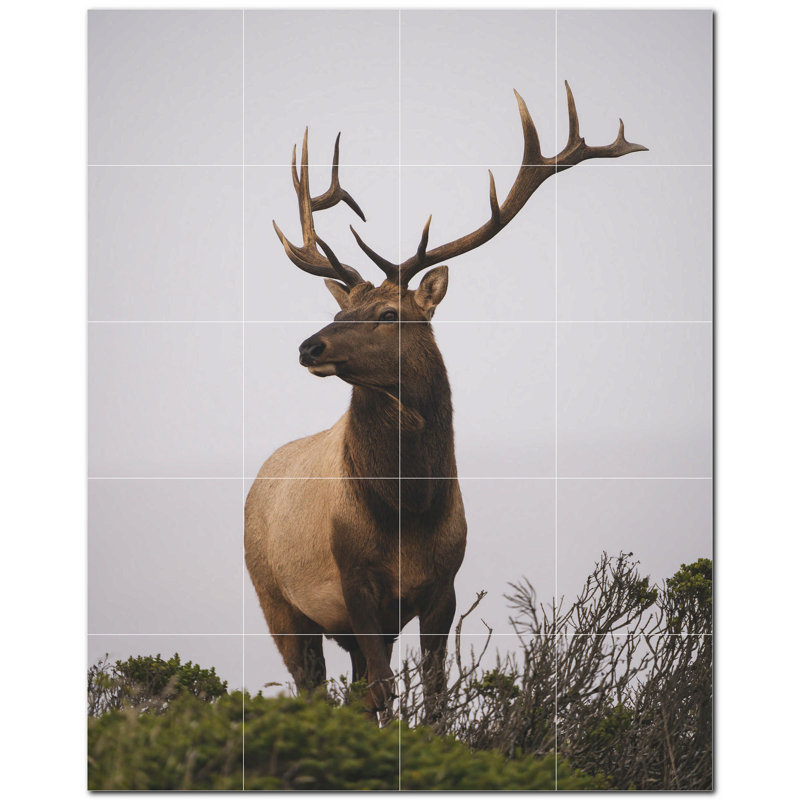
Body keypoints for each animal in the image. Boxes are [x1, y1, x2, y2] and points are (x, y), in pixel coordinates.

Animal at [244, 82, 646, 721]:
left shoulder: (444, 586)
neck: (408, 509)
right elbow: (384, 691)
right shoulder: (354, 582)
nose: (310, 345)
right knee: (315, 685)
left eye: (389, 314)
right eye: (339, 309)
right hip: (276, 600)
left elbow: (434, 693)